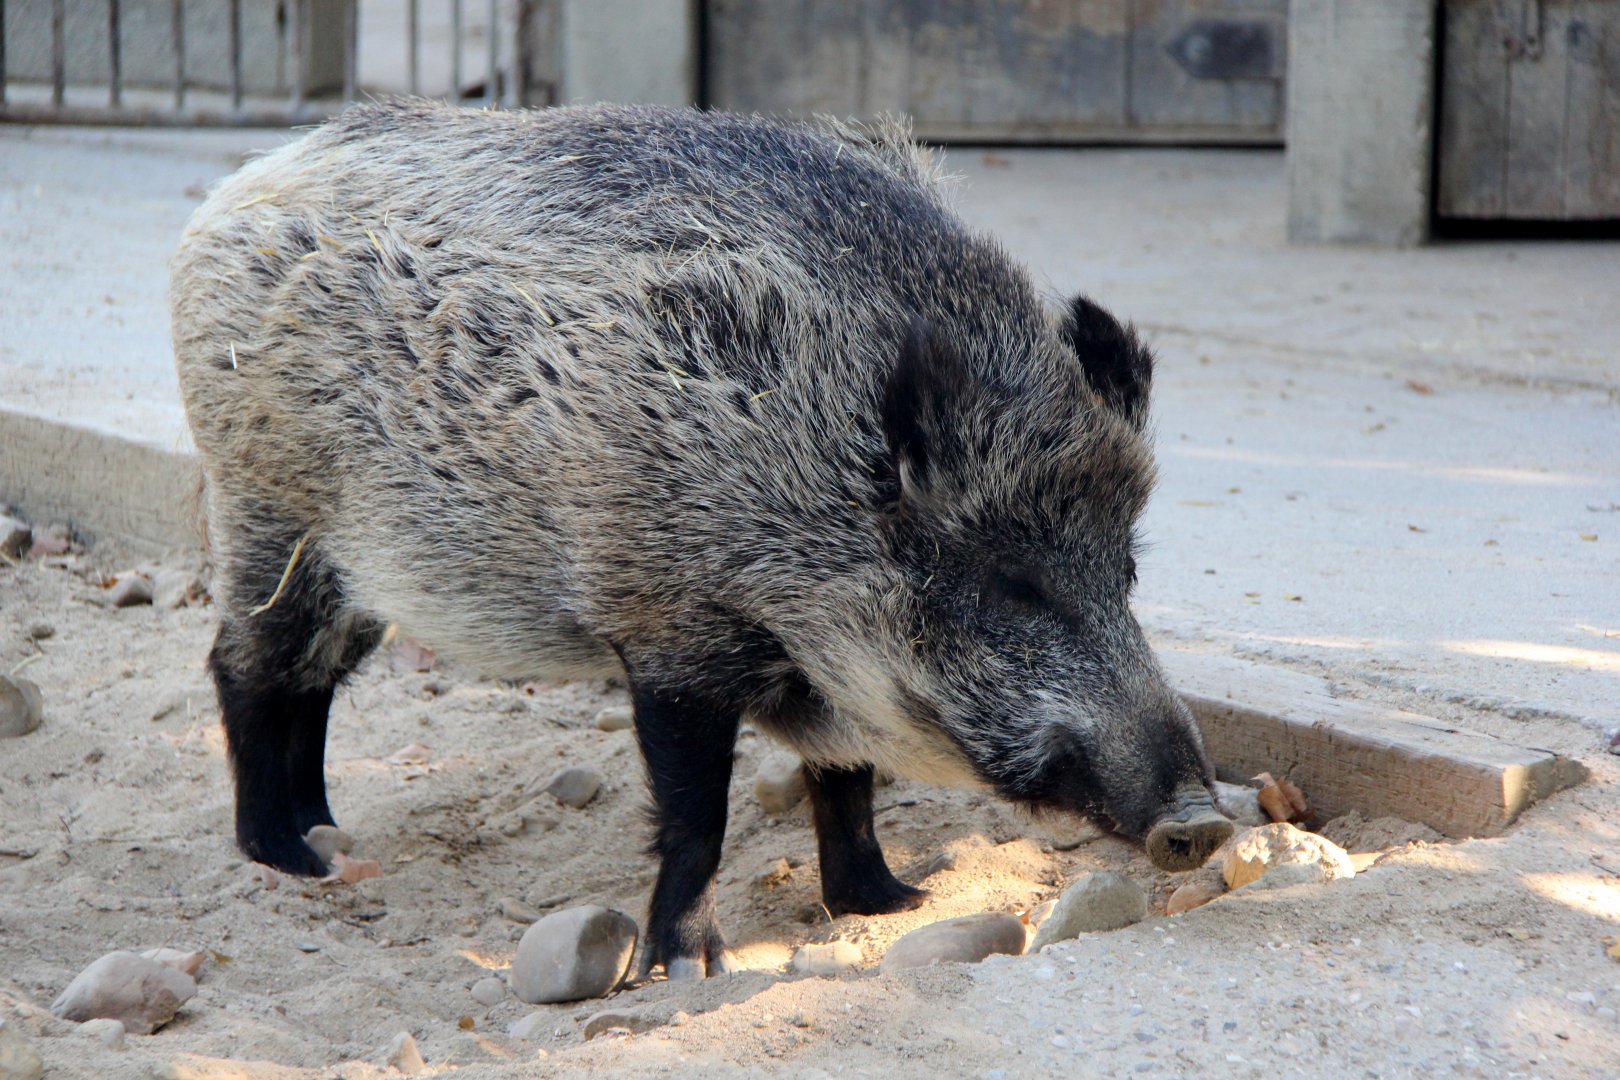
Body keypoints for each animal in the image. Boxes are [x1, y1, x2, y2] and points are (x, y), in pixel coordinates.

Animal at [171, 100, 1233, 979]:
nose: (1204, 819)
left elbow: (848, 781)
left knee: (312, 686)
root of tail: (231, 192)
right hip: (270, 509)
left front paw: (892, 903)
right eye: (1014, 581)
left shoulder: (828, 678)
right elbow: (699, 815)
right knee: (243, 667)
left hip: (355, 573)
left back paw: (326, 831)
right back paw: (288, 861)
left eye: (1125, 571)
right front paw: (685, 970)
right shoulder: (669, 632)